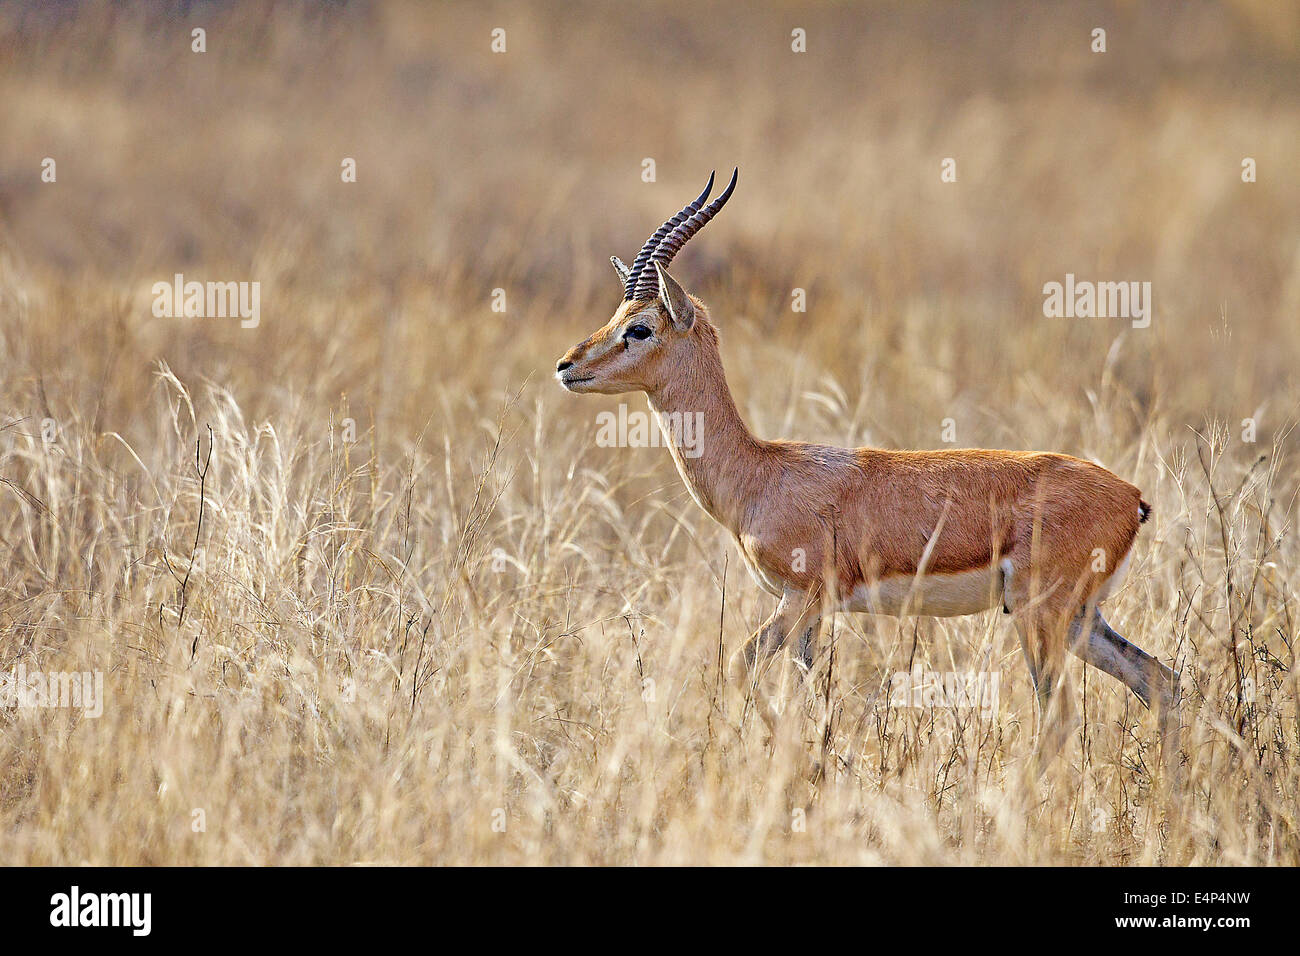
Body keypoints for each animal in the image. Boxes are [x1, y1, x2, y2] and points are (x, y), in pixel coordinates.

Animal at [553, 170, 1185, 770]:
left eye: (640, 327)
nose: (565, 366)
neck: (761, 472)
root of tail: (1132, 498)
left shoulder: (800, 599)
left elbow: (739, 667)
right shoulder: (812, 614)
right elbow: (805, 697)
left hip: (1041, 616)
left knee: (1059, 720)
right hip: (1081, 620)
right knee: (1162, 681)